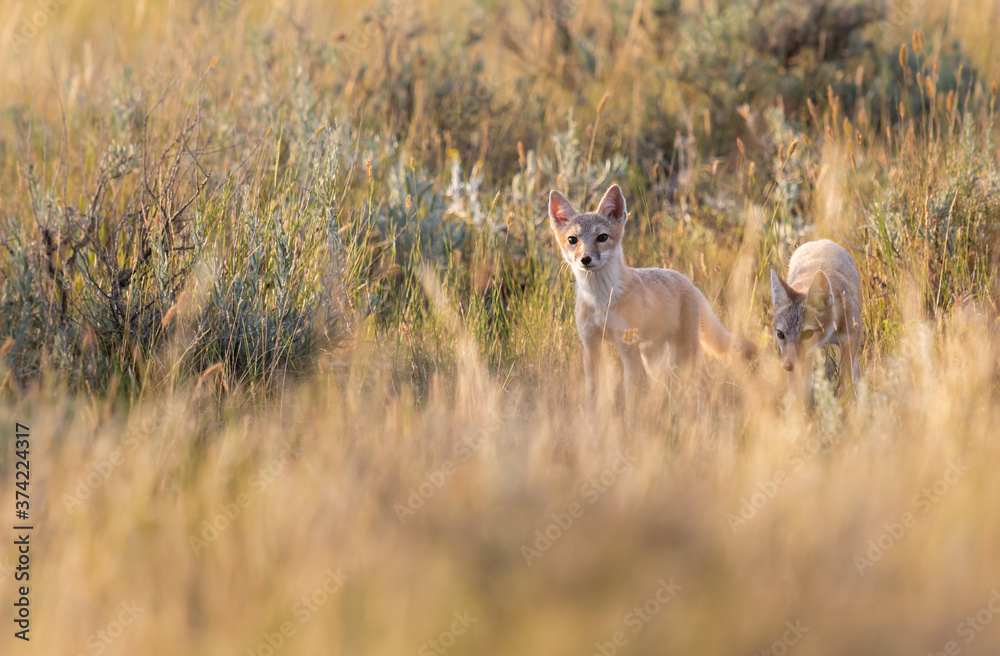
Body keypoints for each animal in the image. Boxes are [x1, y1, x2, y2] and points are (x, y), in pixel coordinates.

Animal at [549, 183, 756, 405]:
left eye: (602, 237)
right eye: (572, 240)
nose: (585, 259)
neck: (600, 301)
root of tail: (688, 281)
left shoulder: (628, 347)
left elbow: (631, 395)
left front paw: (631, 415)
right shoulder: (590, 345)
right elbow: (593, 394)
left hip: (682, 354)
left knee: (705, 383)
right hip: (653, 359)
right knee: (666, 384)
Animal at [769, 239, 864, 394]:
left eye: (808, 333)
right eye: (780, 334)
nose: (788, 366)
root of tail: (821, 241)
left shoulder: (848, 340)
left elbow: (846, 385)